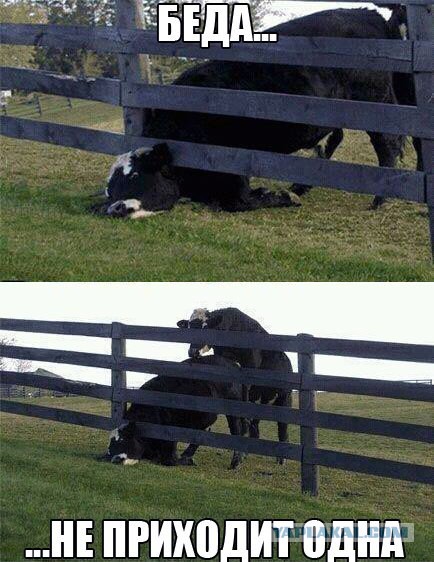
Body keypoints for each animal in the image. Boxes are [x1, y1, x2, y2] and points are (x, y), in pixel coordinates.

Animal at [96, 8, 404, 217]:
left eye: (135, 176)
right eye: (110, 189)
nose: (115, 208)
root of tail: (365, 13)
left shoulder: (232, 167)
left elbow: (239, 202)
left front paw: (281, 197)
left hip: (375, 102)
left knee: (386, 144)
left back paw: (378, 198)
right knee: (334, 140)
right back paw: (300, 186)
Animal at [105, 354, 248, 468]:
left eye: (122, 439)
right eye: (110, 448)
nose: (115, 459)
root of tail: (231, 362)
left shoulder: (171, 431)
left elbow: (169, 460)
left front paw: (185, 460)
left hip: (233, 407)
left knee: (235, 429)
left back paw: (235, 461)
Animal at [175, 306, 292, 460]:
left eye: (205, 327)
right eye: (188, 327)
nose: (193, 351)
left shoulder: (250, 371)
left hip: (285, 397)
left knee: (282, 425)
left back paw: (281, 457)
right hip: (262, 398)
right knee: (256, 422)